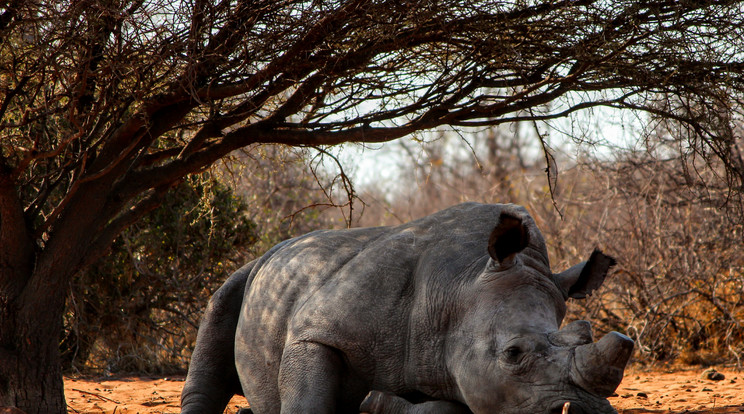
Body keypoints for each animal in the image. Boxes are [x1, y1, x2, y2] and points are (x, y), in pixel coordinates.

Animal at [182, 202, 632, 412]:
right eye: (513, 353)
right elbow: (308, 399)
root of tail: (279, 246)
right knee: (217, 314)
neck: (457, 288)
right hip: (250, 272)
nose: (587, 412)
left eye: (586, 334)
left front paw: (377, 404)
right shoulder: (317, 331)